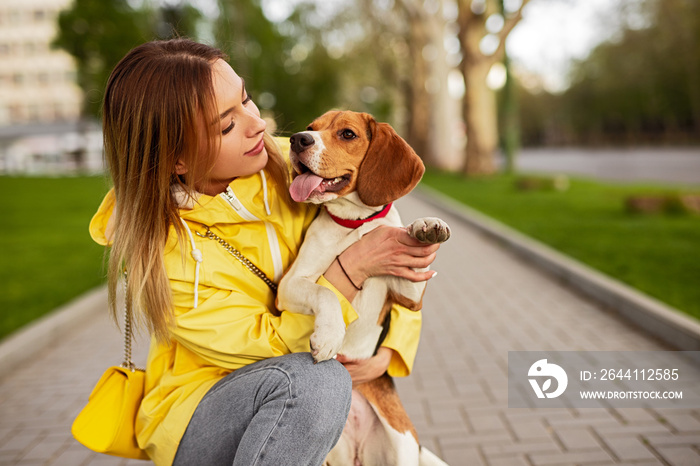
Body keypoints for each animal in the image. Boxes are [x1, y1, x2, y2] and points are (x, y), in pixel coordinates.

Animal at [276, 112, 452, 466]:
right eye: (312, 128)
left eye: (347, 134)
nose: (298, 139)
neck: (355, 225)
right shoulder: (290, 285)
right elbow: (326, 292)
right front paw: (329, 336)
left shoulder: (410, 295)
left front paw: (426, 226)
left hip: (402, 448)